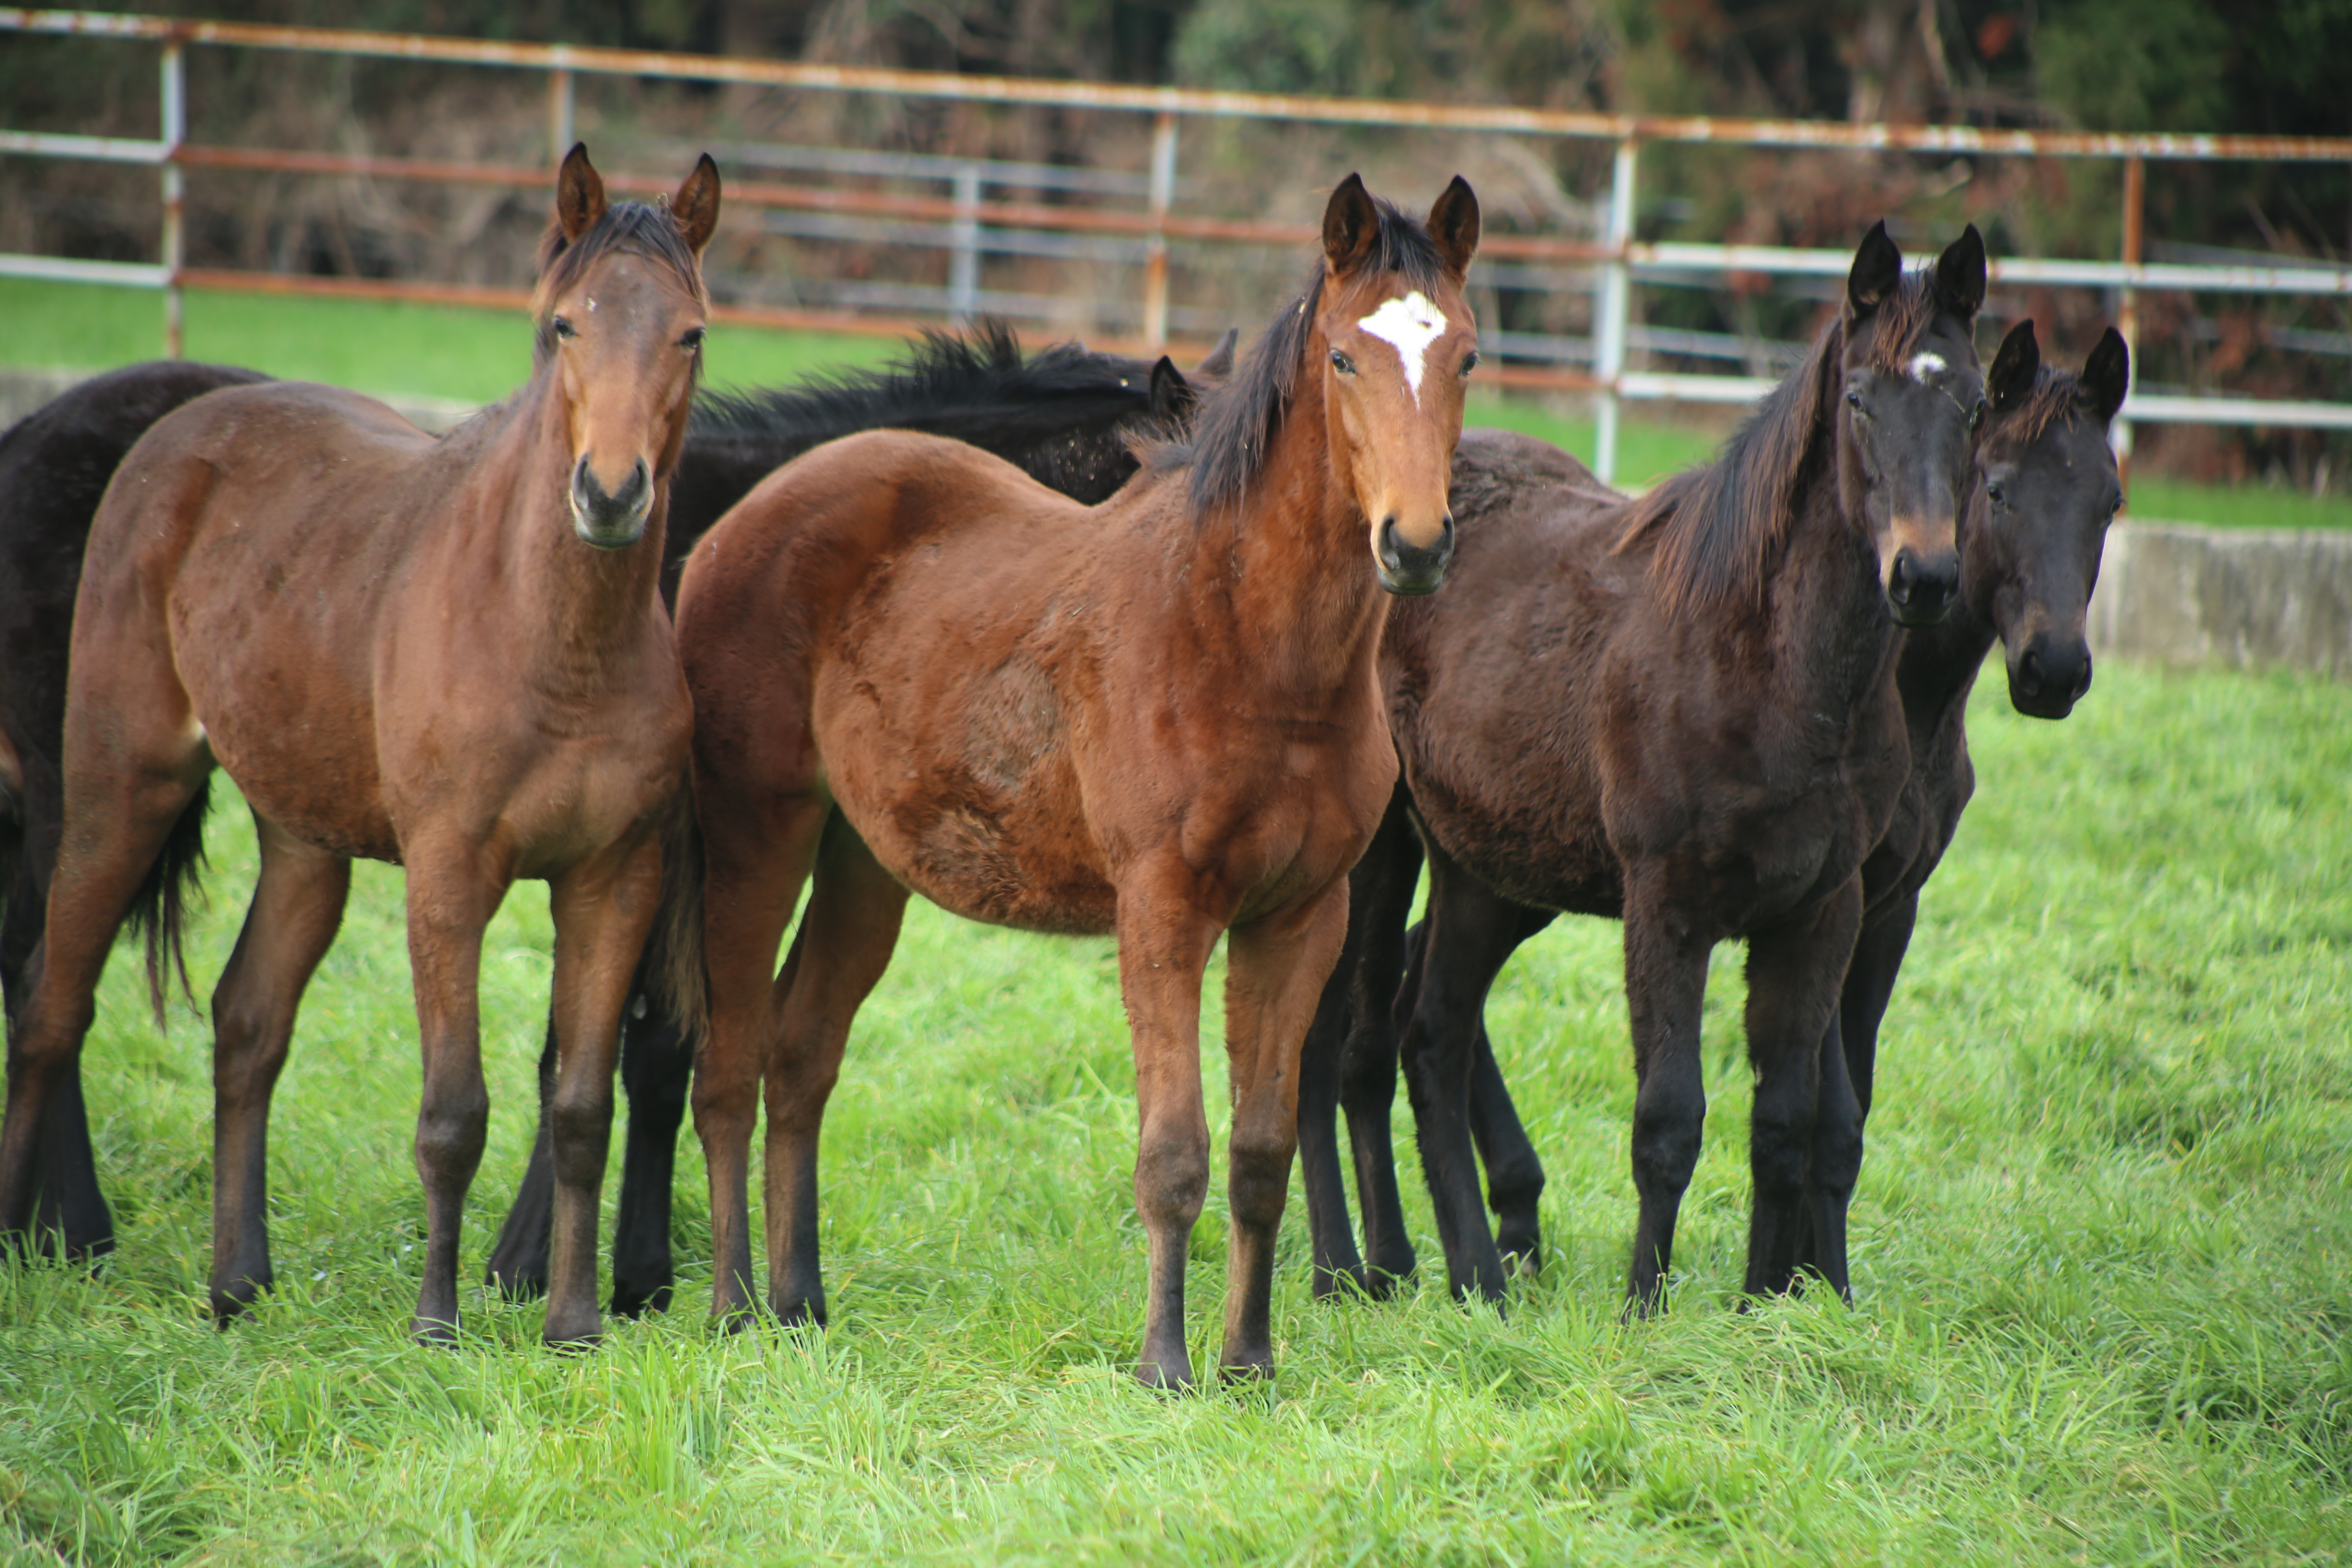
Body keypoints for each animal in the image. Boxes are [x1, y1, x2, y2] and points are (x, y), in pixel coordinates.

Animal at [2, 147, 715, 1354]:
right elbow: (453, 1112)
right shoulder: (449, 877)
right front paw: (436, 1326)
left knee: (247, 1022)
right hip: (120, 788)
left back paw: (237, 1283)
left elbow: (580, 1106)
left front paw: (574, 1326)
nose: (610, 494)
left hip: (302, 837)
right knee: (53, 1005)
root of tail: (179, 435)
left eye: (690, 334)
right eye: (564, 324)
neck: (555, 641)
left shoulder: (614, 878)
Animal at [668, 177, 1468, 1392]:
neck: (1246, 644)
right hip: (757, 834)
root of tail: (740, 520)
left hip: (865, 862)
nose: (1414, 545)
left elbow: (1261, 1149)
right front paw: (1164, 1366)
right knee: (726, 1063)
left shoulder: (1300, 916)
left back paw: (800, 1303)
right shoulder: (1163, 909)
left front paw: (1250, 1362)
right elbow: (1174, 1153)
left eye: (1464, 354)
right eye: (1342, 357)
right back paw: (730, 1306)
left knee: (800, 1056)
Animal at [1307, 315, 2136, 1297]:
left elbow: (1838, 1109)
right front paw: (1801, 1281)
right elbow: (1824, 1101)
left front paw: (1810, 1285)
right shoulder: (1818, 897)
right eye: (1998, 490)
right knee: (1347, 1035)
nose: (2055, 671)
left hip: (1498, 864)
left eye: (2109, 503)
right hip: (1385, 852)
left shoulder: (1881, 908)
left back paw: (1498, 1229)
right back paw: (1364, 1265)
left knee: (1422, 1010)